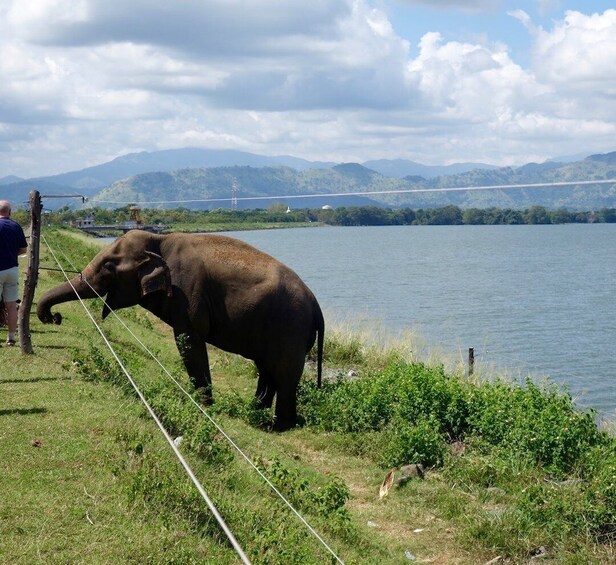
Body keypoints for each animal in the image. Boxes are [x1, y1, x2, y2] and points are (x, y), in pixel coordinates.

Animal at [38, 228, 324, 428]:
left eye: (109, 266)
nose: (55, 317)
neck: (159, 239)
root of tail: (316, 304)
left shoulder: (187, 292)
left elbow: (188, 340)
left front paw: (203, 405)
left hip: (290, 327)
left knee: (284, 370)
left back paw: (278, 426)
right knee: (266, 368)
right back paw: (255, 414)